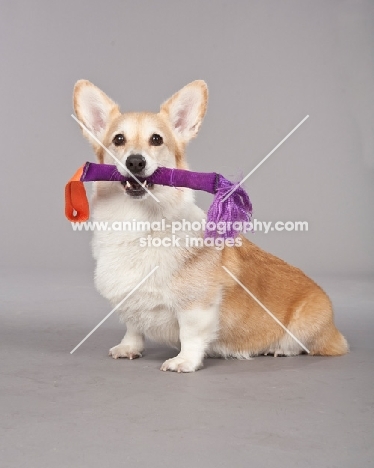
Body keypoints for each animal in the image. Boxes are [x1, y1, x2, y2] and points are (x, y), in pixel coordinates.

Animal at [72, 79, 348, 372]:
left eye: (156, 139)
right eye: (118, 140)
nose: (135, 161)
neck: (139, 222)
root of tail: (335, 329)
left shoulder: (196, 307)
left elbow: (190, 335)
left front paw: (184, 362)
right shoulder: (130, 301)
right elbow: (133, 327)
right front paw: (129, 348)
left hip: (307, 324)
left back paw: (281, 349)